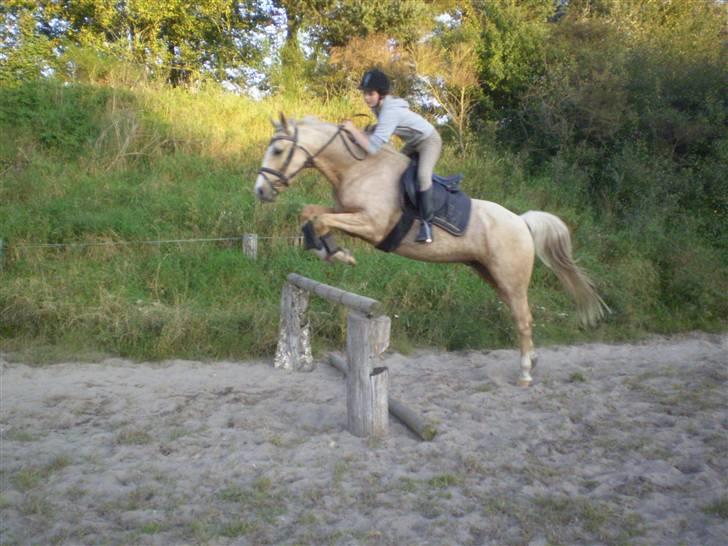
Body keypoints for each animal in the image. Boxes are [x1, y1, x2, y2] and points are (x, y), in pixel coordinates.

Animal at [256, 112, 608, 384]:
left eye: (277, 149)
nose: (260, 191)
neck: (359, 168)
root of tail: (522, 222)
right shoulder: (346, 212)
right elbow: (311, 214)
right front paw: (327, 250)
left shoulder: (373, 225)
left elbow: (321, 220)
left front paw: (337, 253)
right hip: (491, 274)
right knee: (520, 315)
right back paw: (531, 360)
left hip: (511, 278)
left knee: (523, 319)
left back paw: (525, 373)